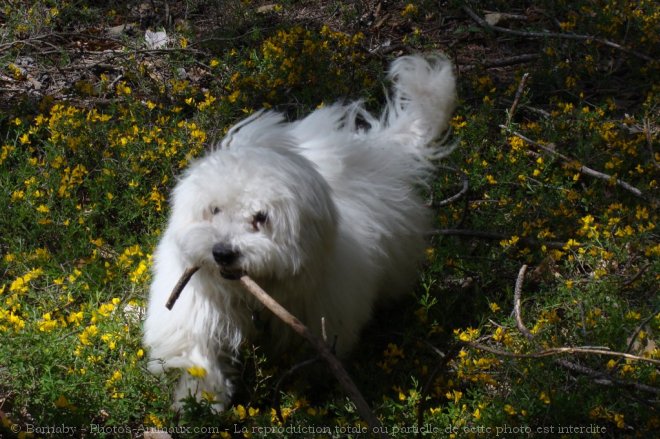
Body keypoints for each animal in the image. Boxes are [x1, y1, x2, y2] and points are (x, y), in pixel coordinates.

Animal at [143, 54, 454, 410]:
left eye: (260, 218)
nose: (222, 252)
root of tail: (375, 147)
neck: (253, 296)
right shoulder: (195, 309)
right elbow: (199, 352)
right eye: (214, 209)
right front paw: (201, 398)